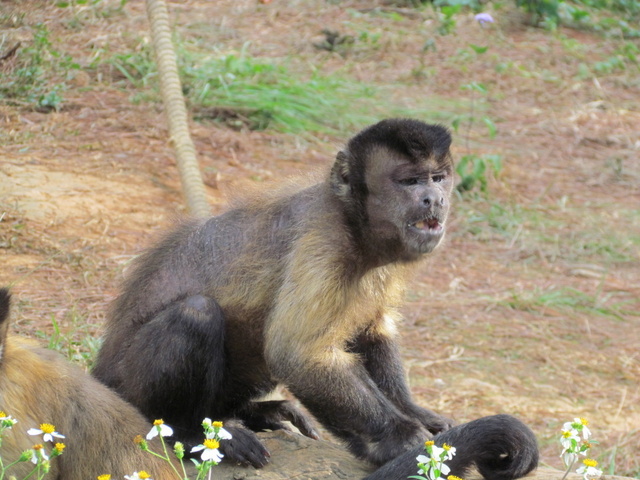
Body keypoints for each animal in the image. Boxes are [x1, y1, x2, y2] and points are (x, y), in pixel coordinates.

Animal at [92, 119, 502, 468]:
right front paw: (397, 438)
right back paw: (189, 433)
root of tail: (100, 375)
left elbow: (372, 330)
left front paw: (413, 412)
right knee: (196, 313)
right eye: (411, 181)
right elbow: (296, 354)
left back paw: (251, 414)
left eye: (438, 178)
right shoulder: (322, 240)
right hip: (126, 387)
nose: (434, 198)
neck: (355, 225)